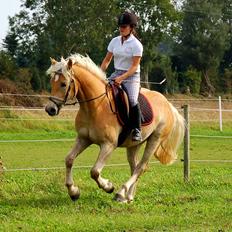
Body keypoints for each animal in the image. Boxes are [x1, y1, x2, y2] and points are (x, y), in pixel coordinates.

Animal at [44, 53, 184, 202]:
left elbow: (94, 171)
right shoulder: (83, 139)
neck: (96, 106)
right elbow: (69, 160)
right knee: (135, 166)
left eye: (64, 84)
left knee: (141, 167)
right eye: (52, 82)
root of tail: (168, 104)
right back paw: (128, 196)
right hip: (134, 144)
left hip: (155, 140)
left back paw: (121, 193)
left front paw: (108, 187)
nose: (50, 109)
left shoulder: (108, 145)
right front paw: (73, 191)